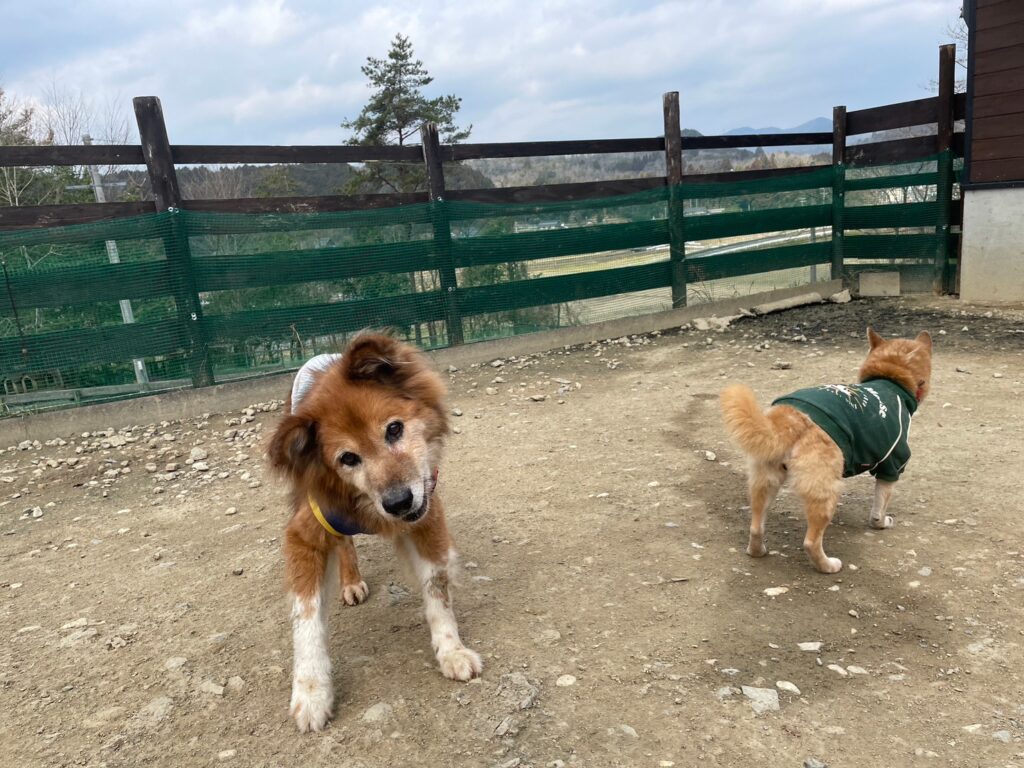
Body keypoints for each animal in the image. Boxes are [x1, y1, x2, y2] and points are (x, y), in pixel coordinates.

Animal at [268, 333, 482, 733]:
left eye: (394, 429)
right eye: (348, 459)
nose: (399, 502)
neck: (366, 505)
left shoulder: (427, 514)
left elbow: (437, 587)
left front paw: (451, 649)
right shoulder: (305, 534)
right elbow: (306, 619)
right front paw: (312, 691)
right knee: (344, 544)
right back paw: (351, 581)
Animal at [719, 327, 932, 574]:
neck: (891, 378)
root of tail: (791, 419)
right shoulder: (891, 466)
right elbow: (878, 509)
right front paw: (882, 523)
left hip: (764, 482)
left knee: (756, 527)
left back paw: (757, 551)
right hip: (825, 492)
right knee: (811, 542)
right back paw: (828, 565)